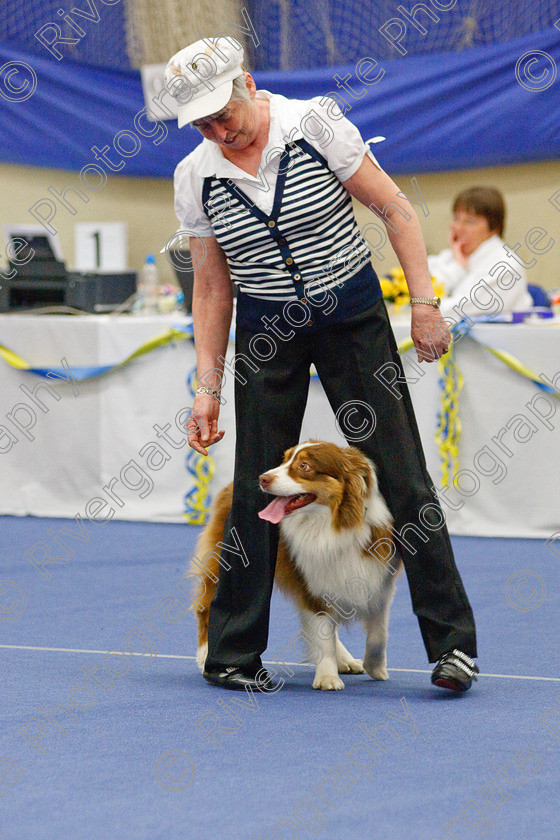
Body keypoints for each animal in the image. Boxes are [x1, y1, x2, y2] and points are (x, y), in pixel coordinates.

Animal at [190, 440, 400, 688]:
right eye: (284, 460)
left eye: (304, 466)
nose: (263, 478)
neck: (333, 524)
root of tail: (228, 487)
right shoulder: (311, 583)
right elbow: (323, 633)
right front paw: (327, 677)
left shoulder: (378, 579)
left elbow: (379, 632)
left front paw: (375, 667)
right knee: (206, 608)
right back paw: (207, 657)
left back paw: (346, 660)